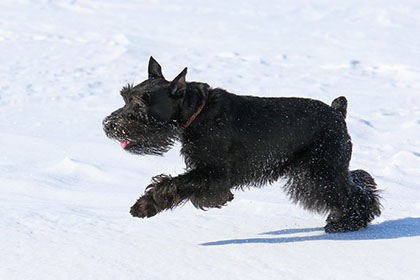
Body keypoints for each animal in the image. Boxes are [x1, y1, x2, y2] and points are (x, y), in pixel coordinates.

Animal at [102, 56, 380, 232]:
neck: (197, 113)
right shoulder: (209, 174)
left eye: (142, 105)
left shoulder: (213, 172)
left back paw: (347, 223)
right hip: (314, 173)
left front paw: (143, 206)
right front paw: (216, 200)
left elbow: (173, 184)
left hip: (321, 172)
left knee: (354, 193)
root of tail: (337, 112)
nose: (107, 124)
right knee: (358, 180)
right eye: (125, 97)